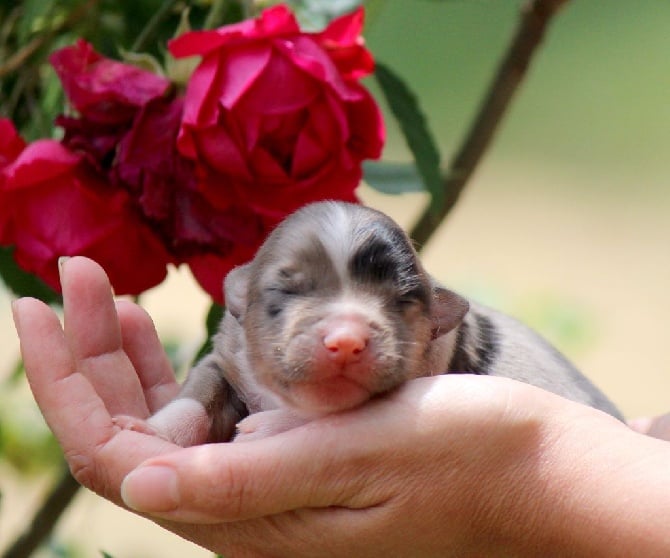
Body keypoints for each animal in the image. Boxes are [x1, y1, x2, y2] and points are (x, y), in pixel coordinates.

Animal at [117, 201, 624, 446]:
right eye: (283, 293)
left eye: (403, 301)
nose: (345, 340)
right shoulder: (225, 360)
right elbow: (196, 399)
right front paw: (154, 430)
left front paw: (270, 427)